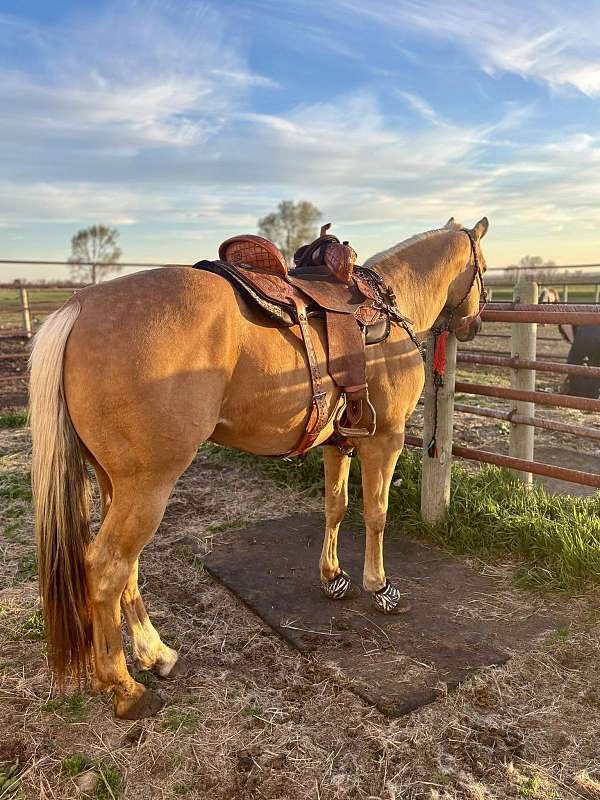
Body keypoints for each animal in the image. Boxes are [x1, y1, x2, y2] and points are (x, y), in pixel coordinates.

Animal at [29, 216, 489, 719]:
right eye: (483, 268)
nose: (474, 324)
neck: (388, 307)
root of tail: (78, 308)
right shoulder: (384, 441)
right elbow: (376, 514)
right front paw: (381, 587)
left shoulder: (339, 444)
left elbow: (336, 508)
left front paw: (333, 577)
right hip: (147, 488)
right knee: (108, 567)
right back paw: (126, 688)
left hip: (116, 484)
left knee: (125, 570)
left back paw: (158, 655)